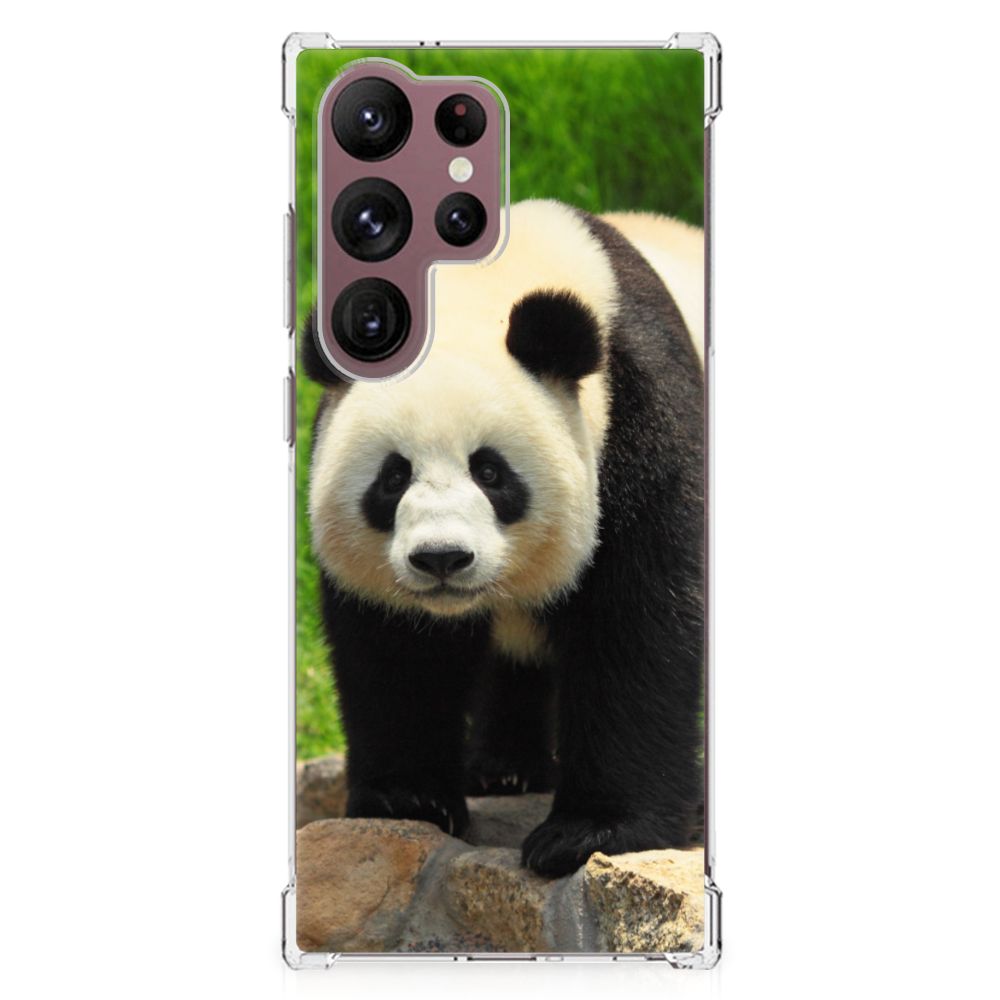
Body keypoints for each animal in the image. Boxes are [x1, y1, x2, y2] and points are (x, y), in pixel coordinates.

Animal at [302, 199, 705, 877]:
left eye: (490, 472)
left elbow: (639, 625)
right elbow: (395, 651)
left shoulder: (642, 421)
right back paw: (504, 769)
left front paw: (589, 832)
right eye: (393, 477)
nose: (441, 558)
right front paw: (408, 799)